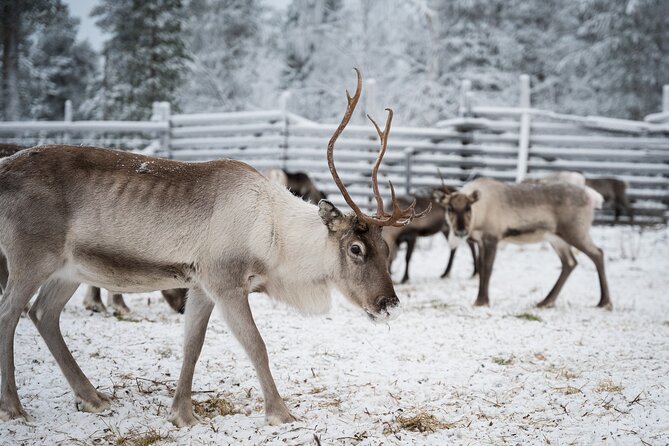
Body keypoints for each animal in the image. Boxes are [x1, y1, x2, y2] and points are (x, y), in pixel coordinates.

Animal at [0, 69, 428, 426]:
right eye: (356, 248)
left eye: (386, 249)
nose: (389, 304)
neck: (274, 242)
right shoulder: (226, 282)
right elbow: (257, 346)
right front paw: (281, 414)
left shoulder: (200, 285)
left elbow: (192, 345)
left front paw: (182, 414)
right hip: (29, 256)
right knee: (10, 313)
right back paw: (15, 408)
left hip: (69, 268)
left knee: (43, 313)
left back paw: (93, 397)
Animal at [433, 177, 612, 309]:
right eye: (449, 208)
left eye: (468, 208)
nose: (461, 231)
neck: (479, 215)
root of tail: (591, 196)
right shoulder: (480, 242)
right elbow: (481, 268)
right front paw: (481, 300)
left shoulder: (492, 238)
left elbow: (487, 269)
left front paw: (482, 301)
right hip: (556, 238)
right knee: (570, 262)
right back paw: (546, 301)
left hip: (575, 232)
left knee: (598, 253)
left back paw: (604, 302)